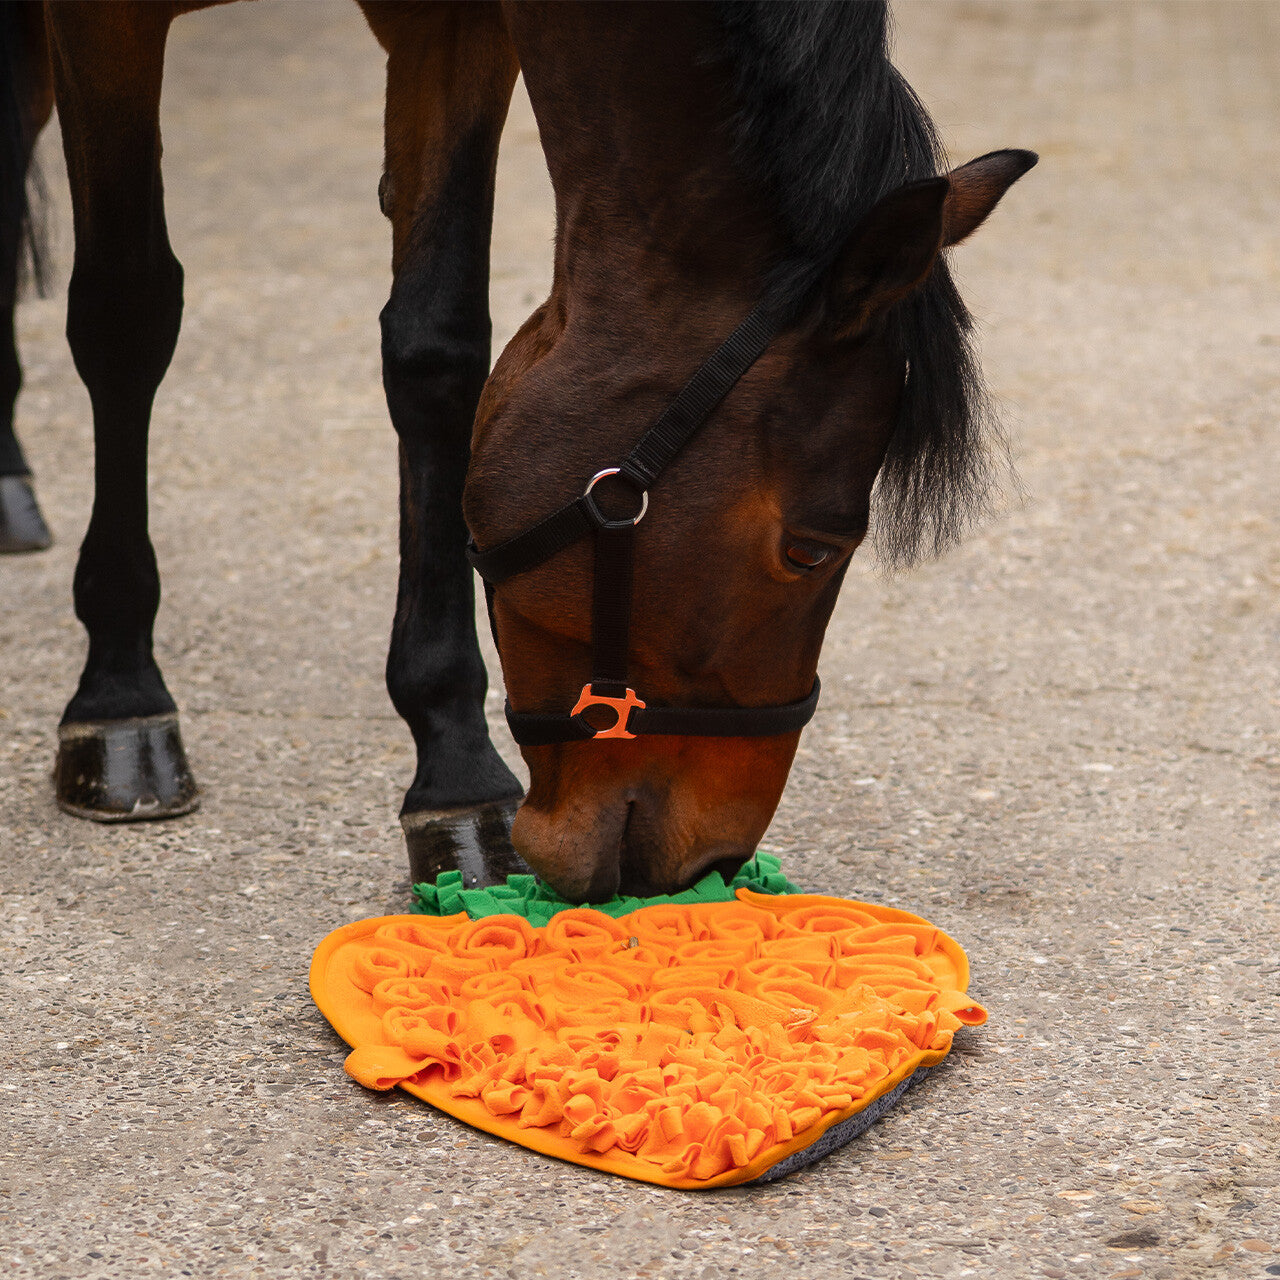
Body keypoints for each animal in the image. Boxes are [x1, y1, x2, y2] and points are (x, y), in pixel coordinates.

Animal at [2, 1, 1034, 902]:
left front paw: (454, 771)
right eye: (812, 551)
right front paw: (118, 698)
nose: (716, 858)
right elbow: (126, 314)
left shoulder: (454, 27)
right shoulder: (103, 20)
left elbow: (436, 350)